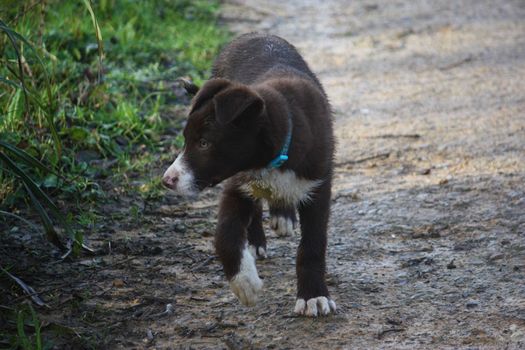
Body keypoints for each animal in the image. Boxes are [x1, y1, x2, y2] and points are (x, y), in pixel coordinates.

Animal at [163, 33, 336, 318]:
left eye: (204, 143)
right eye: (186, 140)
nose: (167, 180)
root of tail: (253, 34)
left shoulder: (318, 186)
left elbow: (312, 246)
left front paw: (313, 296)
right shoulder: (237, 185)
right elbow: (224, 236)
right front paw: (245, 284)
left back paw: (283, 215)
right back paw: (254, 242)